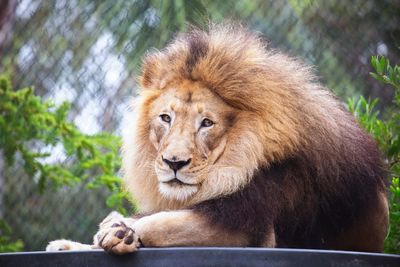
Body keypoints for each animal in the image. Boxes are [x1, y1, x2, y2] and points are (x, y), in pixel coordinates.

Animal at [46, 22, 388, 253]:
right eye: (165, 118)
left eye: (207, 123)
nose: (174, 163)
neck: (232, 166)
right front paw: (80, 240)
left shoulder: (255, 233)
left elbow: (165, 223)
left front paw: (119, 230)